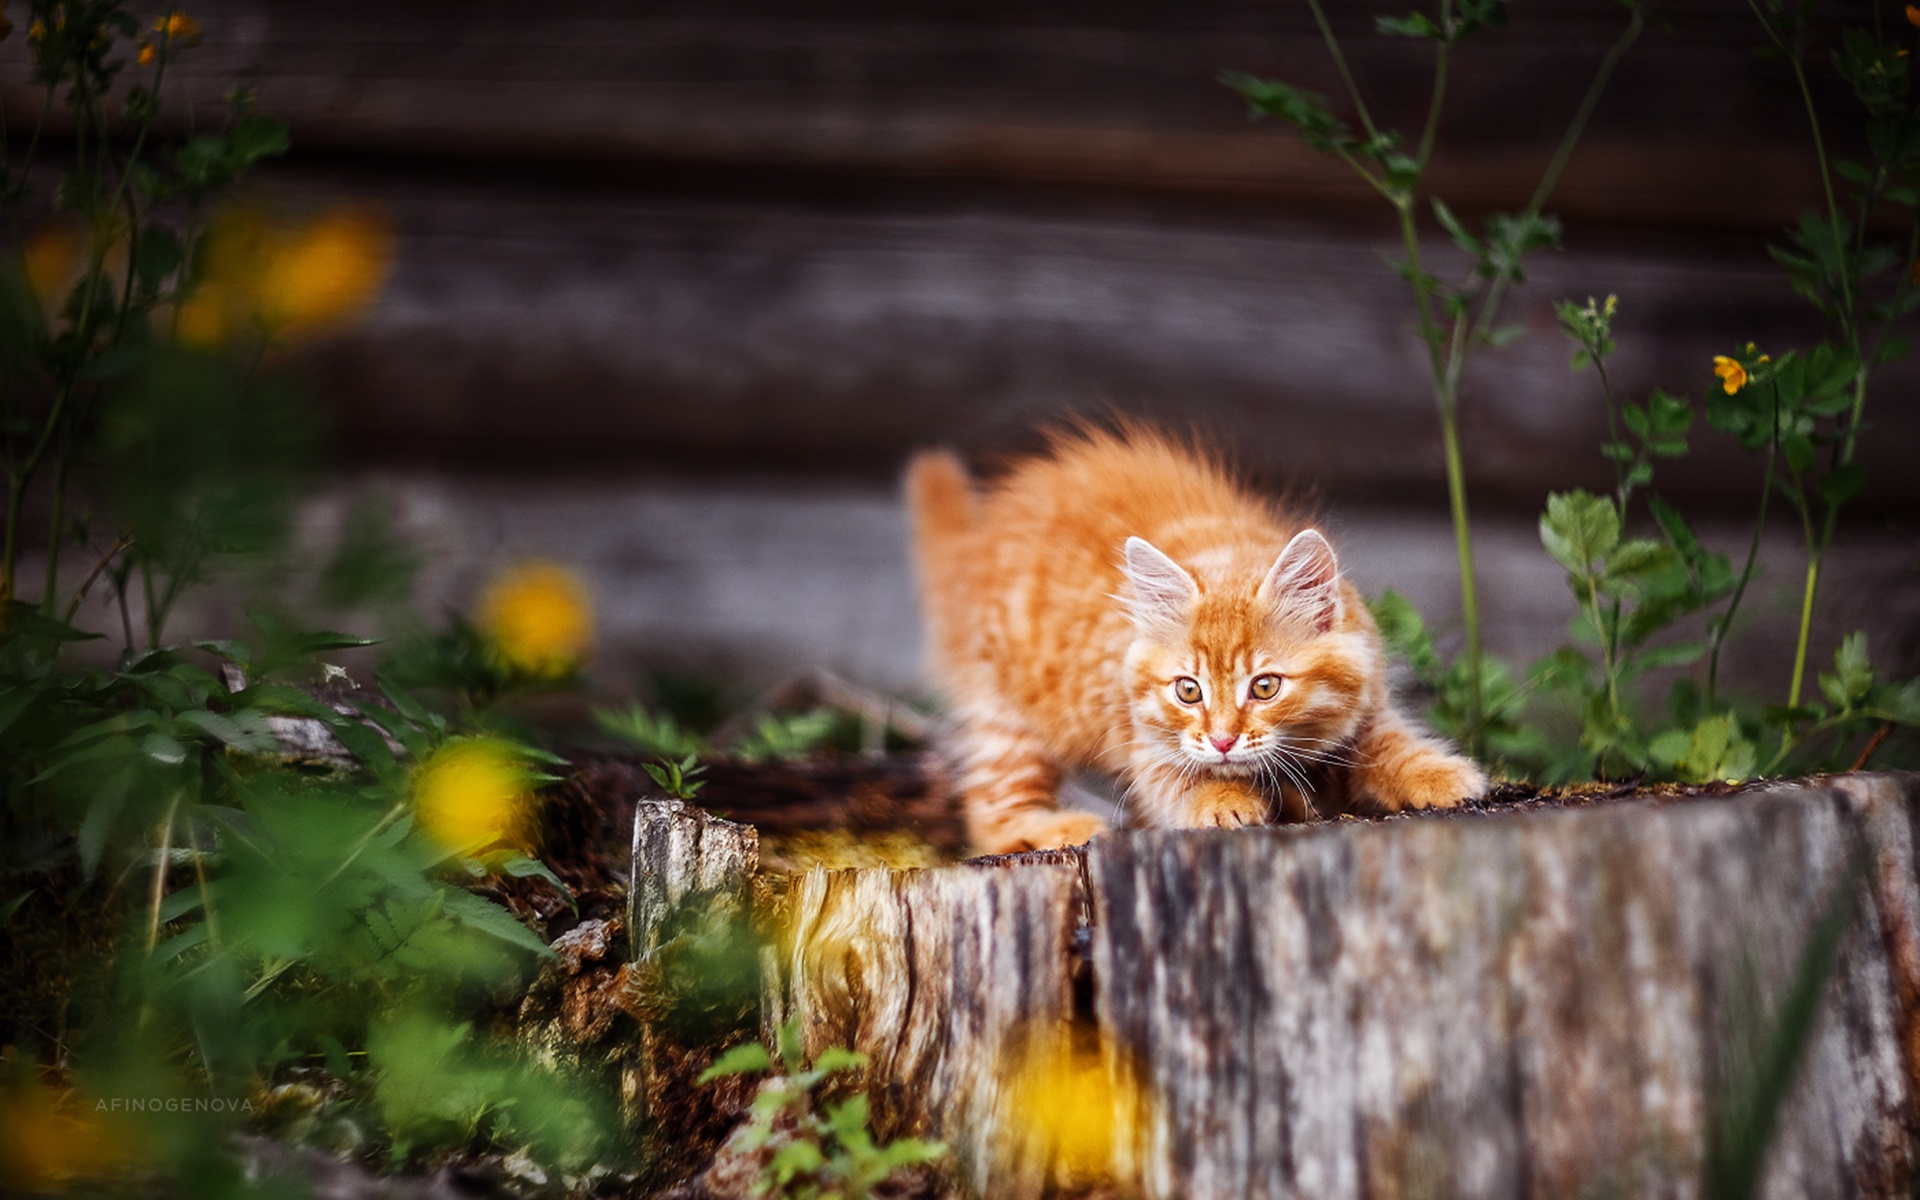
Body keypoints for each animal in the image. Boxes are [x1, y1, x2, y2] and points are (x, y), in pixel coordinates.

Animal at [902, 428, 1482, 852]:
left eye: (1265, 687)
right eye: (1188, 690)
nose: (1223, 740)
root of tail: (973, 545)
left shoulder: (1369, 705)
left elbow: (1393, 745)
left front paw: (1442, 775)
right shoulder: (1148, 747)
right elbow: (1185, 782)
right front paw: (1226, 800)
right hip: (1005, 715)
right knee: (991, 811)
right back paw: (1056, 829)